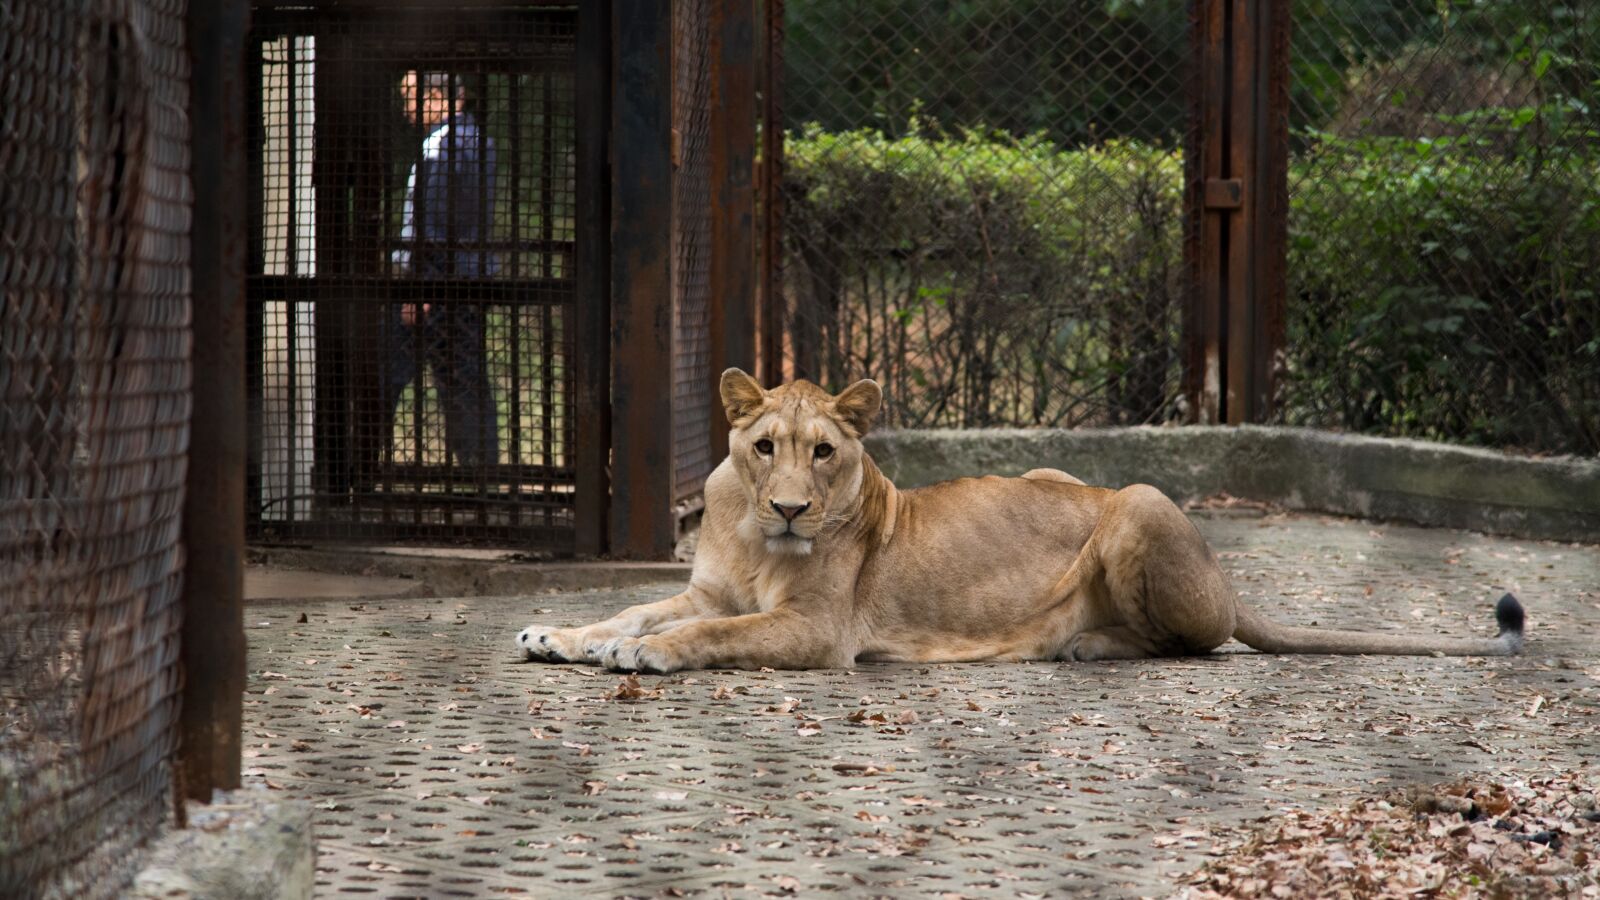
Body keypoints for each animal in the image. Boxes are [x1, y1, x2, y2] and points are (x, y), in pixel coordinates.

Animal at [515, 369, 1525, 673]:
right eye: (766, 448)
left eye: (825, 453)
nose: (794, 505)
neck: (750, 530)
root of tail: (1229, 582)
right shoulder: (708, 588)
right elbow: (635, 608)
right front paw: (560, 632)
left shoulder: (817, 631)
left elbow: (712, 636)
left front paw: (645, 655)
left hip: (1135, 504)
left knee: (1194, 643)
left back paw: (1083, 644)